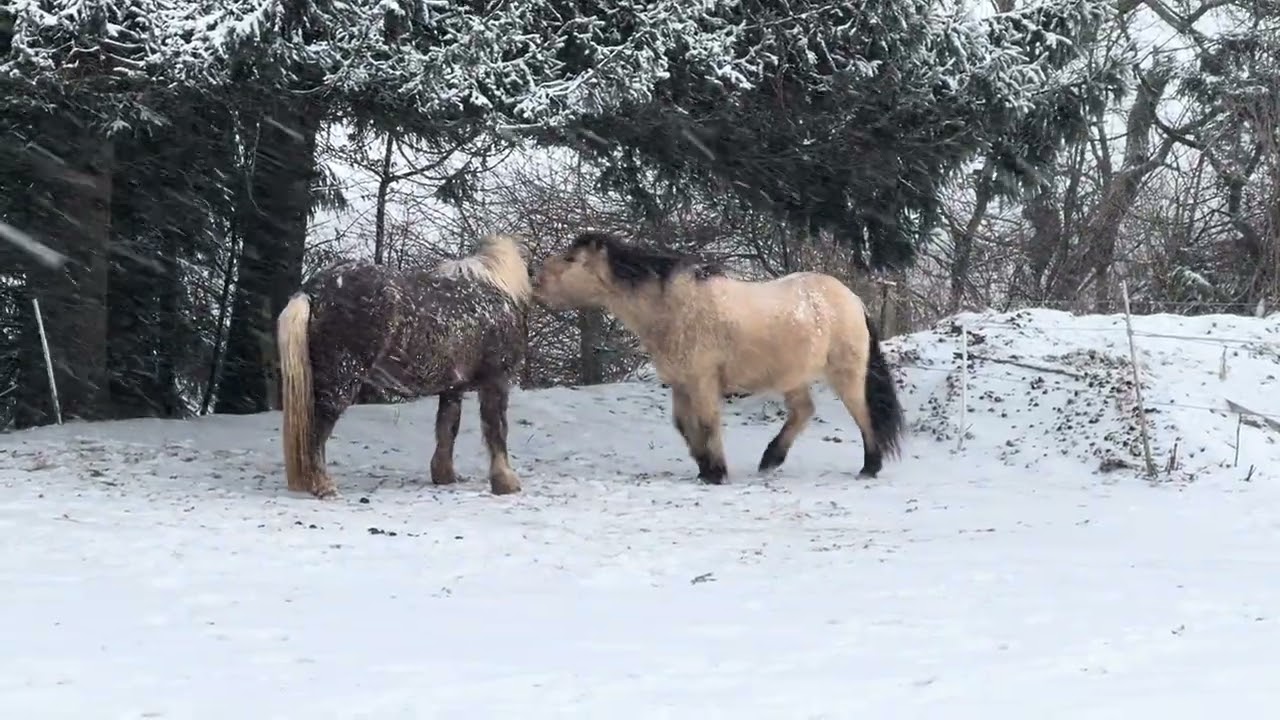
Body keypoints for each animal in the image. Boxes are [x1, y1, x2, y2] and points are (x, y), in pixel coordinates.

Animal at [276, 233, 532, 499]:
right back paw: (323, 485)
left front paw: (444, 475)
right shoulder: (496, 381)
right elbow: (496, 430)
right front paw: (506, 482)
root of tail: (314, 291)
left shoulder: (453, 388)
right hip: (340, 382)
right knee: (316, 431)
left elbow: (447, 428)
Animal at [533, 231, 904, 484]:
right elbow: (684, 425)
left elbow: (707, 423)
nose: (535, 282)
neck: (671, 308)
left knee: (863, 414)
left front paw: (717, 472)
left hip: (845, 374)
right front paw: (705, 469)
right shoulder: (681, 383)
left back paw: (869, 467)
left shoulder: (701, 381)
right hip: (792, 376)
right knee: (803, 411)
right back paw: (770, 459)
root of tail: (853, 299)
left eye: (571, 260)